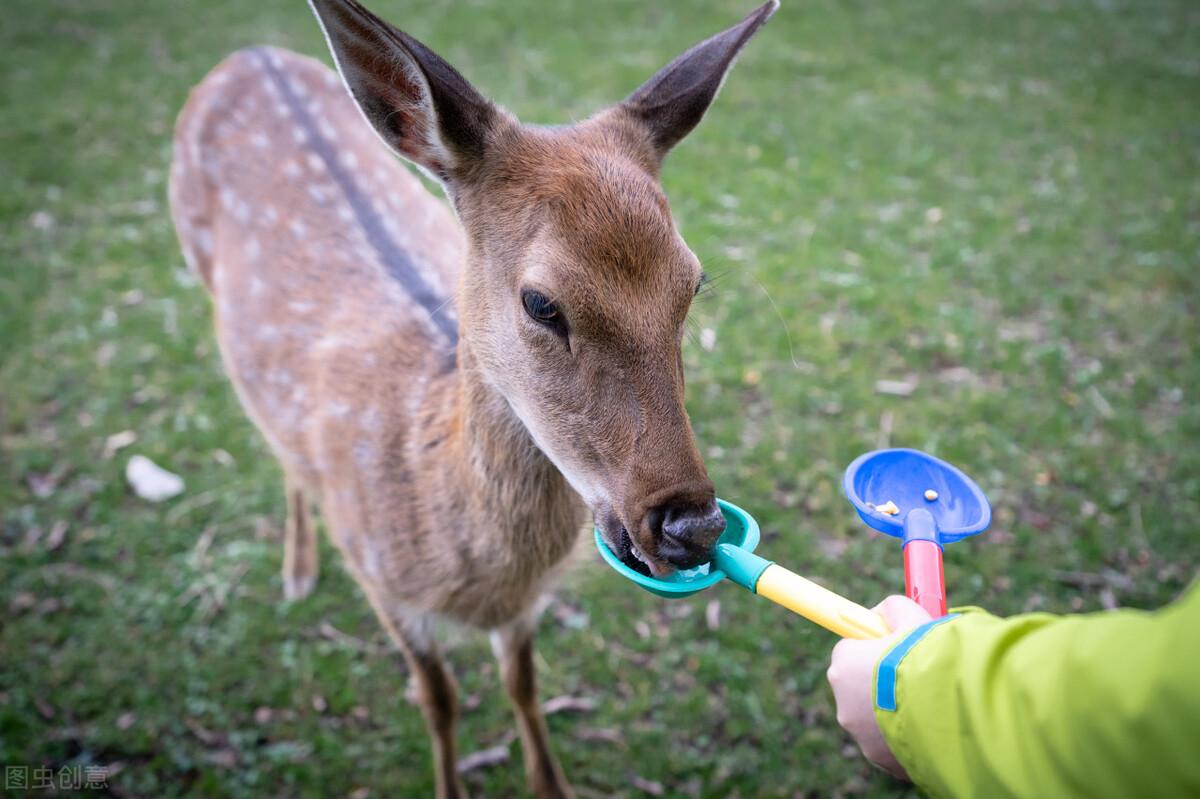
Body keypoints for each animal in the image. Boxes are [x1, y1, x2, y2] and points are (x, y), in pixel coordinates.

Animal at [171, 1, 777, 791]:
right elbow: (439, 700)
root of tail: (246, 55)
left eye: (693, 283)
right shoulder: (384, 585)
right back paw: (298, 569)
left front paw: (552, 784)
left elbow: (523, 682)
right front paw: (449, 780)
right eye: (542, 303)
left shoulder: (521, 612)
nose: (693, 526)